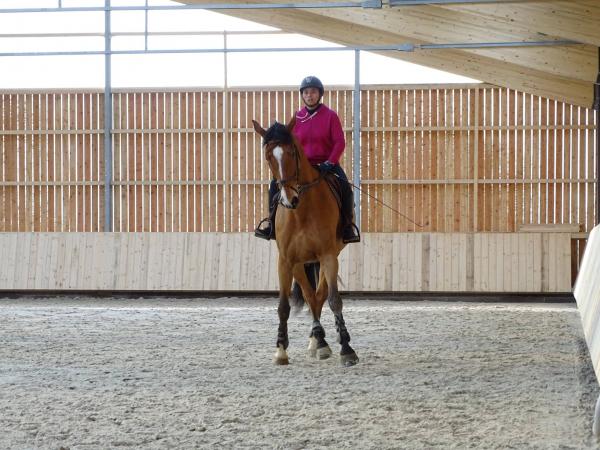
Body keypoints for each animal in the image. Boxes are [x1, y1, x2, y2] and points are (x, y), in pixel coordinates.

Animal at [251, 118, 358, 368]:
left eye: (292, 152)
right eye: (268, 156)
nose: (289, 199)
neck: (301, 211)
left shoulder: (328, 256)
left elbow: (334, 300)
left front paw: (347, 350)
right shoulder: (285, 261)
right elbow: (283, 306)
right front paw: (281, 351)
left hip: (327, 258)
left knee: (320, 295)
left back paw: (320, 342)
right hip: (300, 264)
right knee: (311, 297)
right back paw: (318, 341)